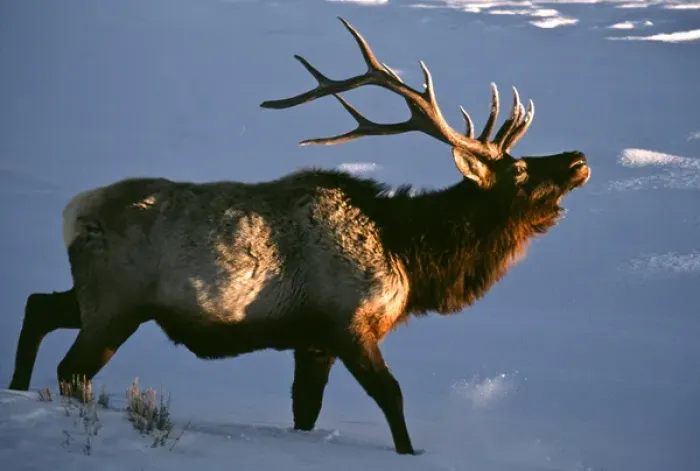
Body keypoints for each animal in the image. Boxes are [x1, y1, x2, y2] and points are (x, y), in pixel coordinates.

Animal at [8, 17, 590, 455]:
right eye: (519, 171)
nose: (578, 158)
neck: (410, 254)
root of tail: (74, 213)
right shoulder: (348, 323)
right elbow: (393, 397)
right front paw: (411, 452)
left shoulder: (312, 342)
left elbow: (305, 413)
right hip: (116, 303)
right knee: (71, 367)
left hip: (97, 296)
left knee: (38, 305)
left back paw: (15, 390)